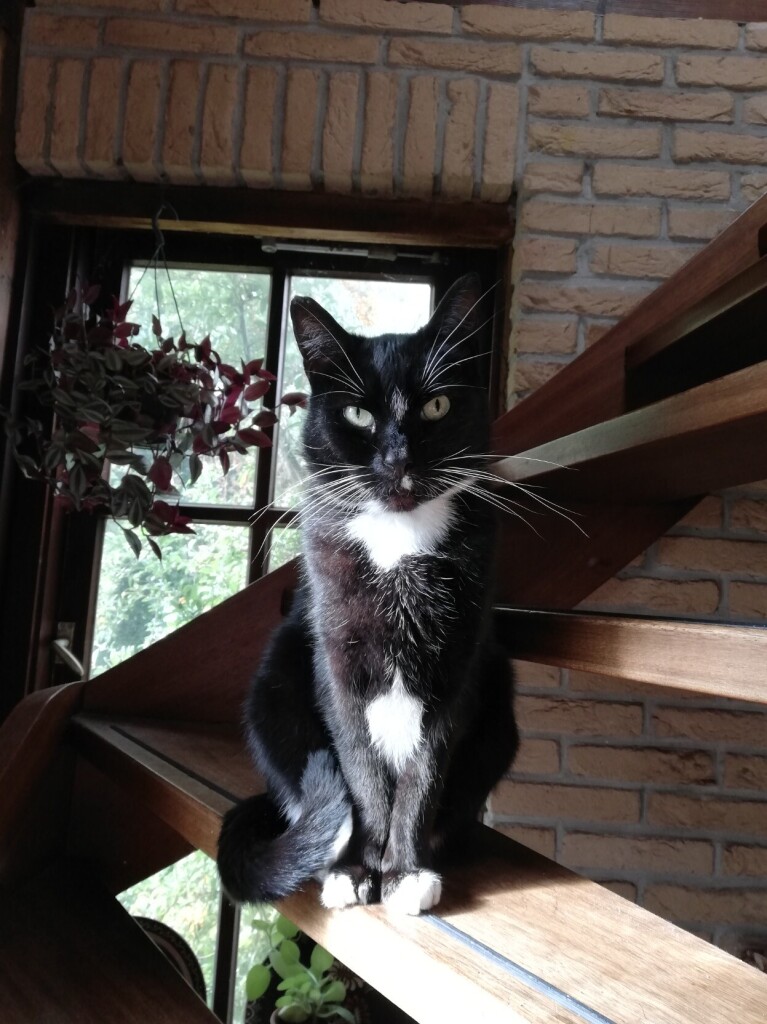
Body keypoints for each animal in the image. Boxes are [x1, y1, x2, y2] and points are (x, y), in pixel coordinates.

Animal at [215, 276, 518, 917]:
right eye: (357, 413)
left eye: (436, 406)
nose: (398, 459)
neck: (399, 544)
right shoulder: (336, 662)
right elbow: (359, 767)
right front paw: (358, 869)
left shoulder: (456, 669)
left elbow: (423, 772)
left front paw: (404, 871)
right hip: (275, 681)